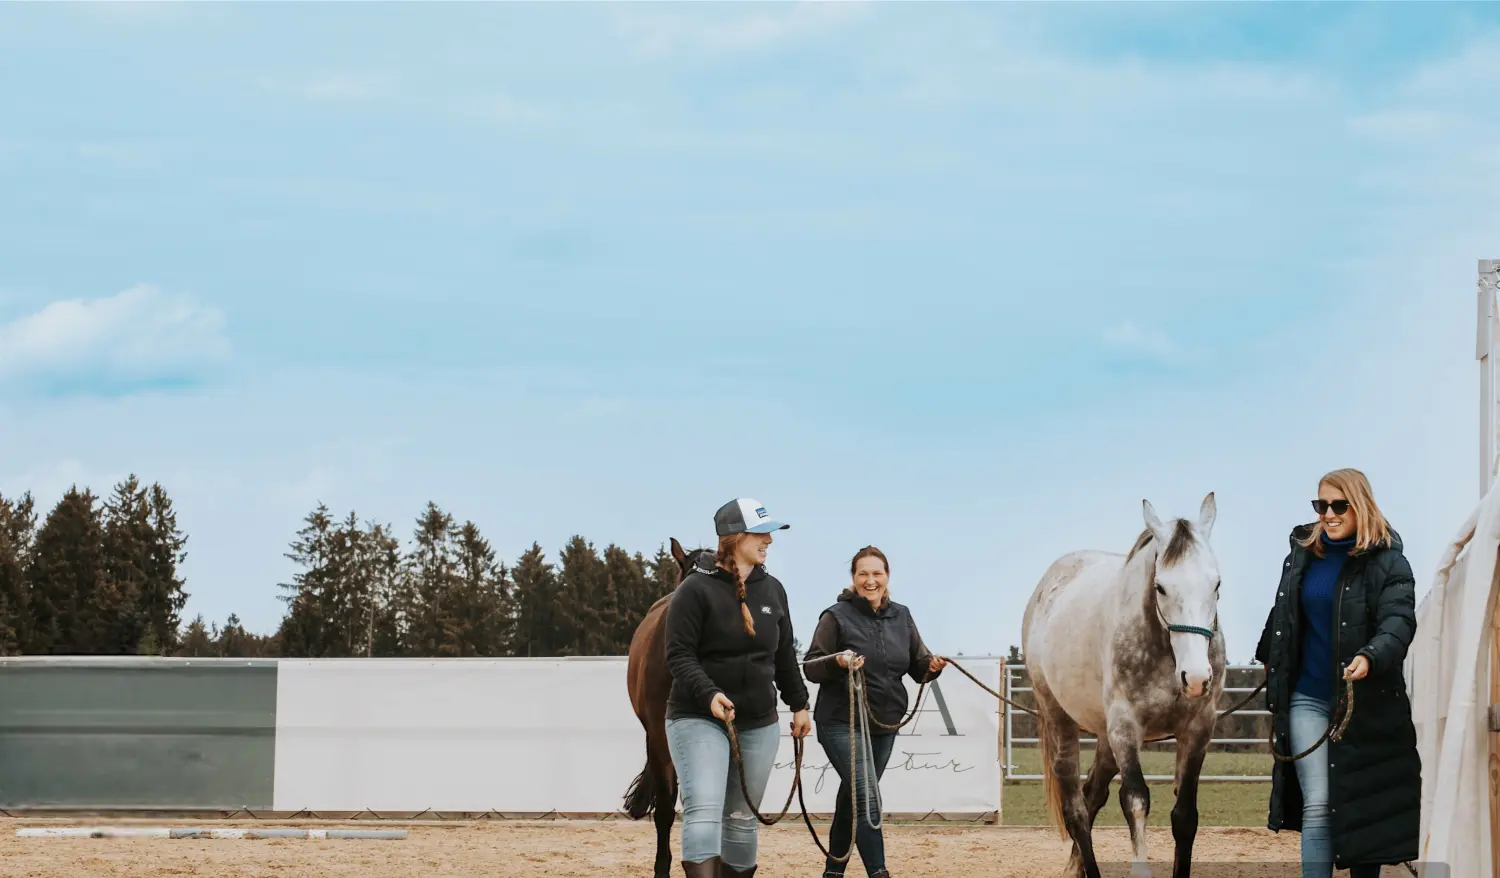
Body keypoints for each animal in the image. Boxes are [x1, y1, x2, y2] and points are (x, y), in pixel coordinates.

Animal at [1020, 492, 1230, 876]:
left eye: (1217, 584)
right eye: (1161, 587)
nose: (1195, 678)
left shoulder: (1198, 728)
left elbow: (1185, 816)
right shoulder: (1126, 726)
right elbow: (1135, 801)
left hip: (1105, 736)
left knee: (1092, 796)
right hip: (1061, 719)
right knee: (1076, 809)